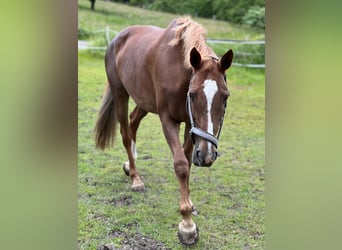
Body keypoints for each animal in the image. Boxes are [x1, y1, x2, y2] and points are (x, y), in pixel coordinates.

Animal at [93, 18, 232, 246]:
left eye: (226, 96)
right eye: (193, 94)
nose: (207, 155)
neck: (180, 73)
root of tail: (117, 38)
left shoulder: (190, 123)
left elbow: (187, 161)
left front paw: (189, 202)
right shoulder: (168, 120)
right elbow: (181, 165)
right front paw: (187, 225)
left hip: (144, 101)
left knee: (133, 123)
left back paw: (130, 165)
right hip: (120, 93)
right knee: (125, 133)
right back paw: (136, 178)